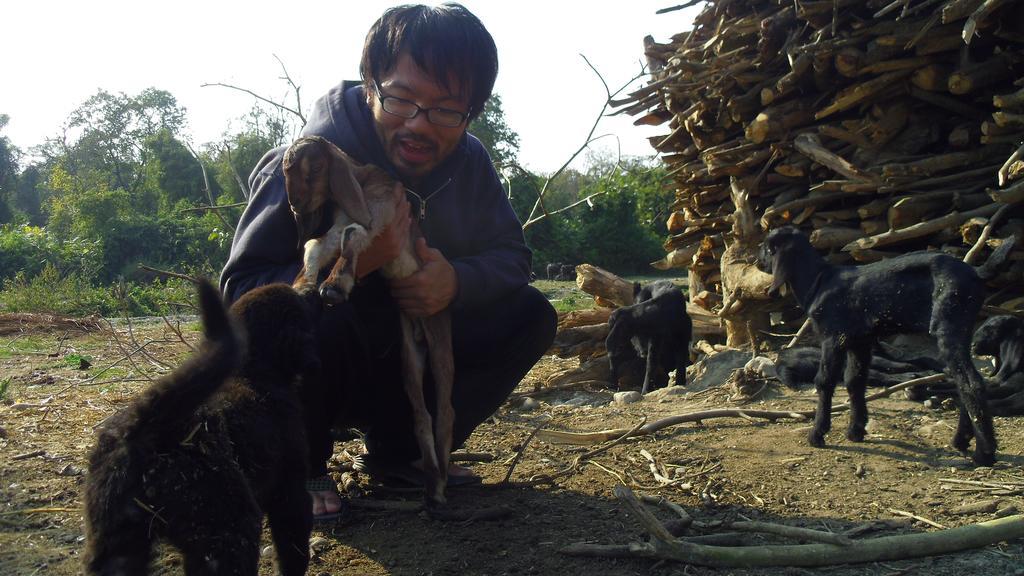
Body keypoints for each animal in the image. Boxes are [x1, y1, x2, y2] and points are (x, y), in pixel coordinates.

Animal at [82, 282, 317, 573]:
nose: (312, 291)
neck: (253, 369)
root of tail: (143, 428)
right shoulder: (290, 488)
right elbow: (293, 547)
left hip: (117, 540)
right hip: (228, 526)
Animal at [757, 226, 1011, 463]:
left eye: (768, 248)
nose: (757, 262)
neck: (818, 281)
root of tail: (976, 272)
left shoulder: (833, 337)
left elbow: (825, 381)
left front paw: (818, 434)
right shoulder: (860, 340)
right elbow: (855, 380)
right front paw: (856, 430)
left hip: (949, 324)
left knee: (970, 382)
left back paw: (984, 453)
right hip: (962, 327)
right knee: (965, 380)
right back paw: (961, 440)